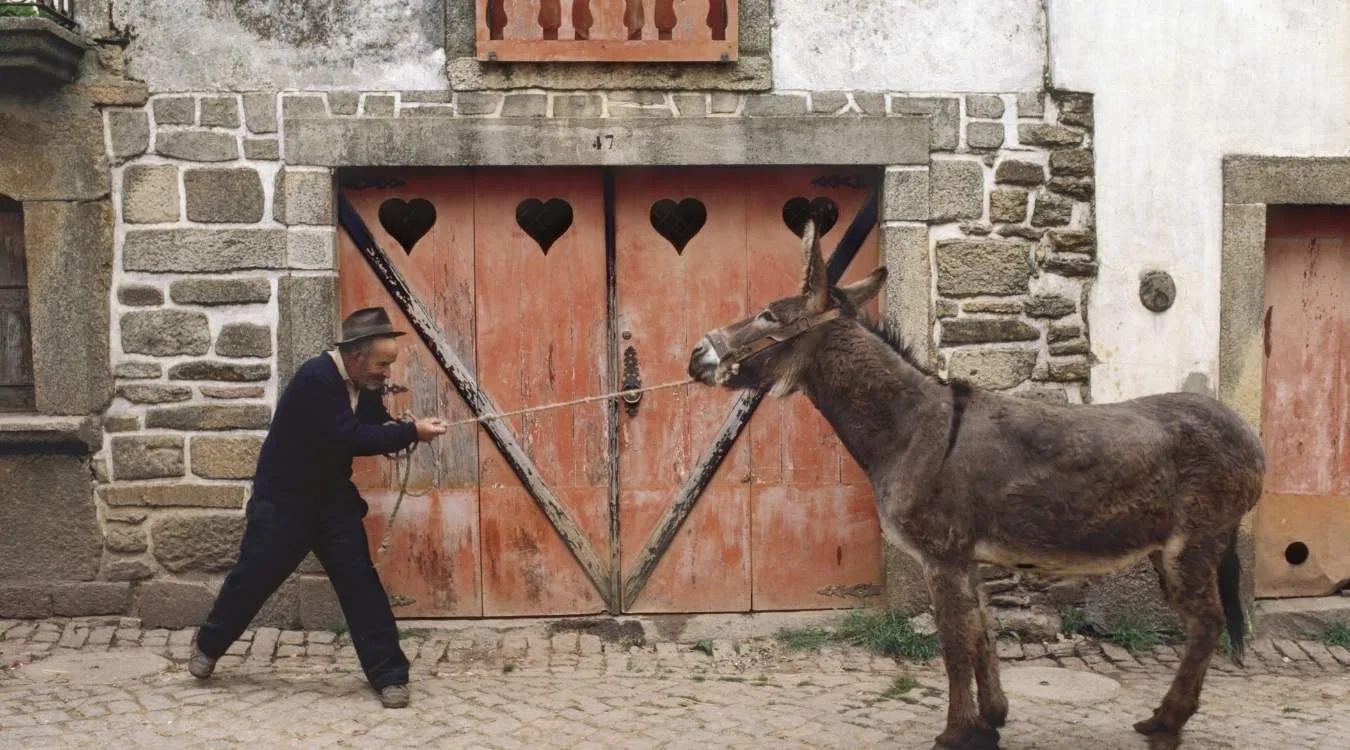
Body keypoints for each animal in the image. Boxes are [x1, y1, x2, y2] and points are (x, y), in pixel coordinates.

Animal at [686, 220, 1265, 750]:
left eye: (768, 315)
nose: (696, 355)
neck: (911, 427)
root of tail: (1247, 436)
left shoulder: (940, 555)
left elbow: (954, 643)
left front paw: (955, 732)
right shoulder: (966, 555)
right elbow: (983, 631)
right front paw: (991, 720)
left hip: (1192, 545)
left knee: (1206, 623)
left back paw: (1166, 723)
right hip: (1171, 551)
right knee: (1204, 624)